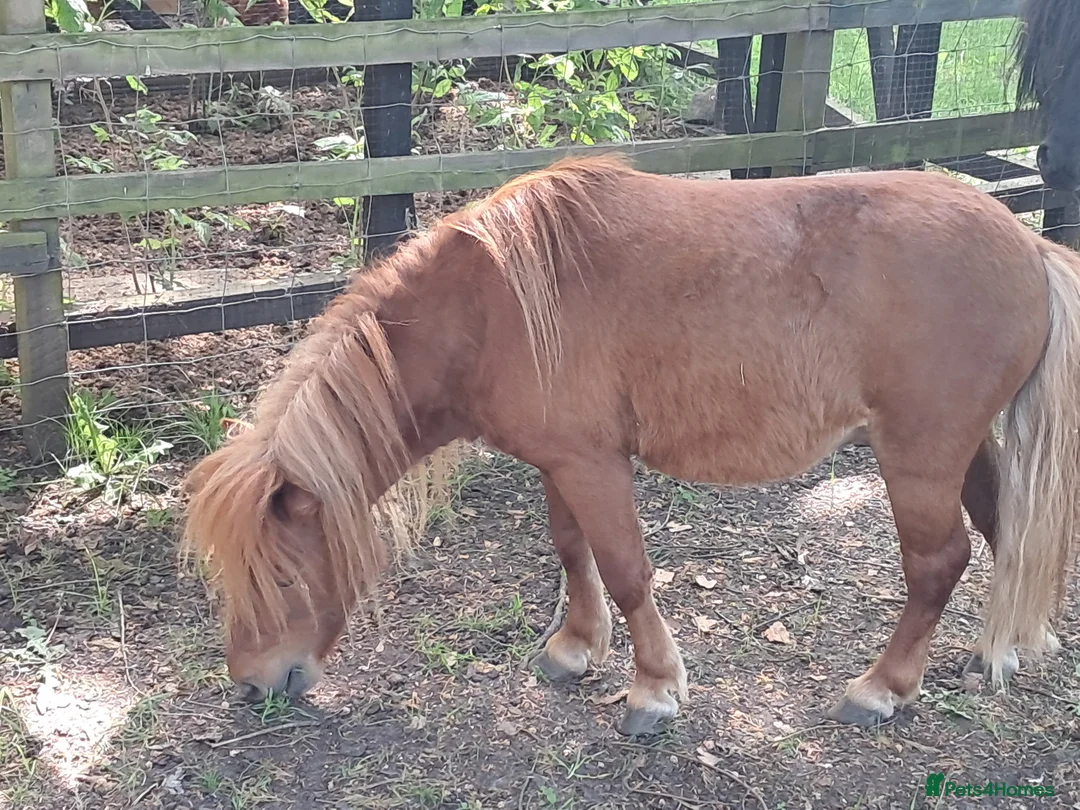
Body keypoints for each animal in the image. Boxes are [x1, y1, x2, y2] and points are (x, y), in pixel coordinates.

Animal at [182, 155, 1080, 737]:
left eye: (283, 576)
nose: (253, 684)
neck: (490, 307)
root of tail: (1028, 247)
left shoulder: (595, 466)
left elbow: (625, 570)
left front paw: (653, 689)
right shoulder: (560, 462)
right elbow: (571, 551)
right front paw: (575, 649)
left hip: (919, 458)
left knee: (938, 564)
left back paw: (884, 688)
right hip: (964, 451)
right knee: (1007, 532)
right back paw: (1016, 647)